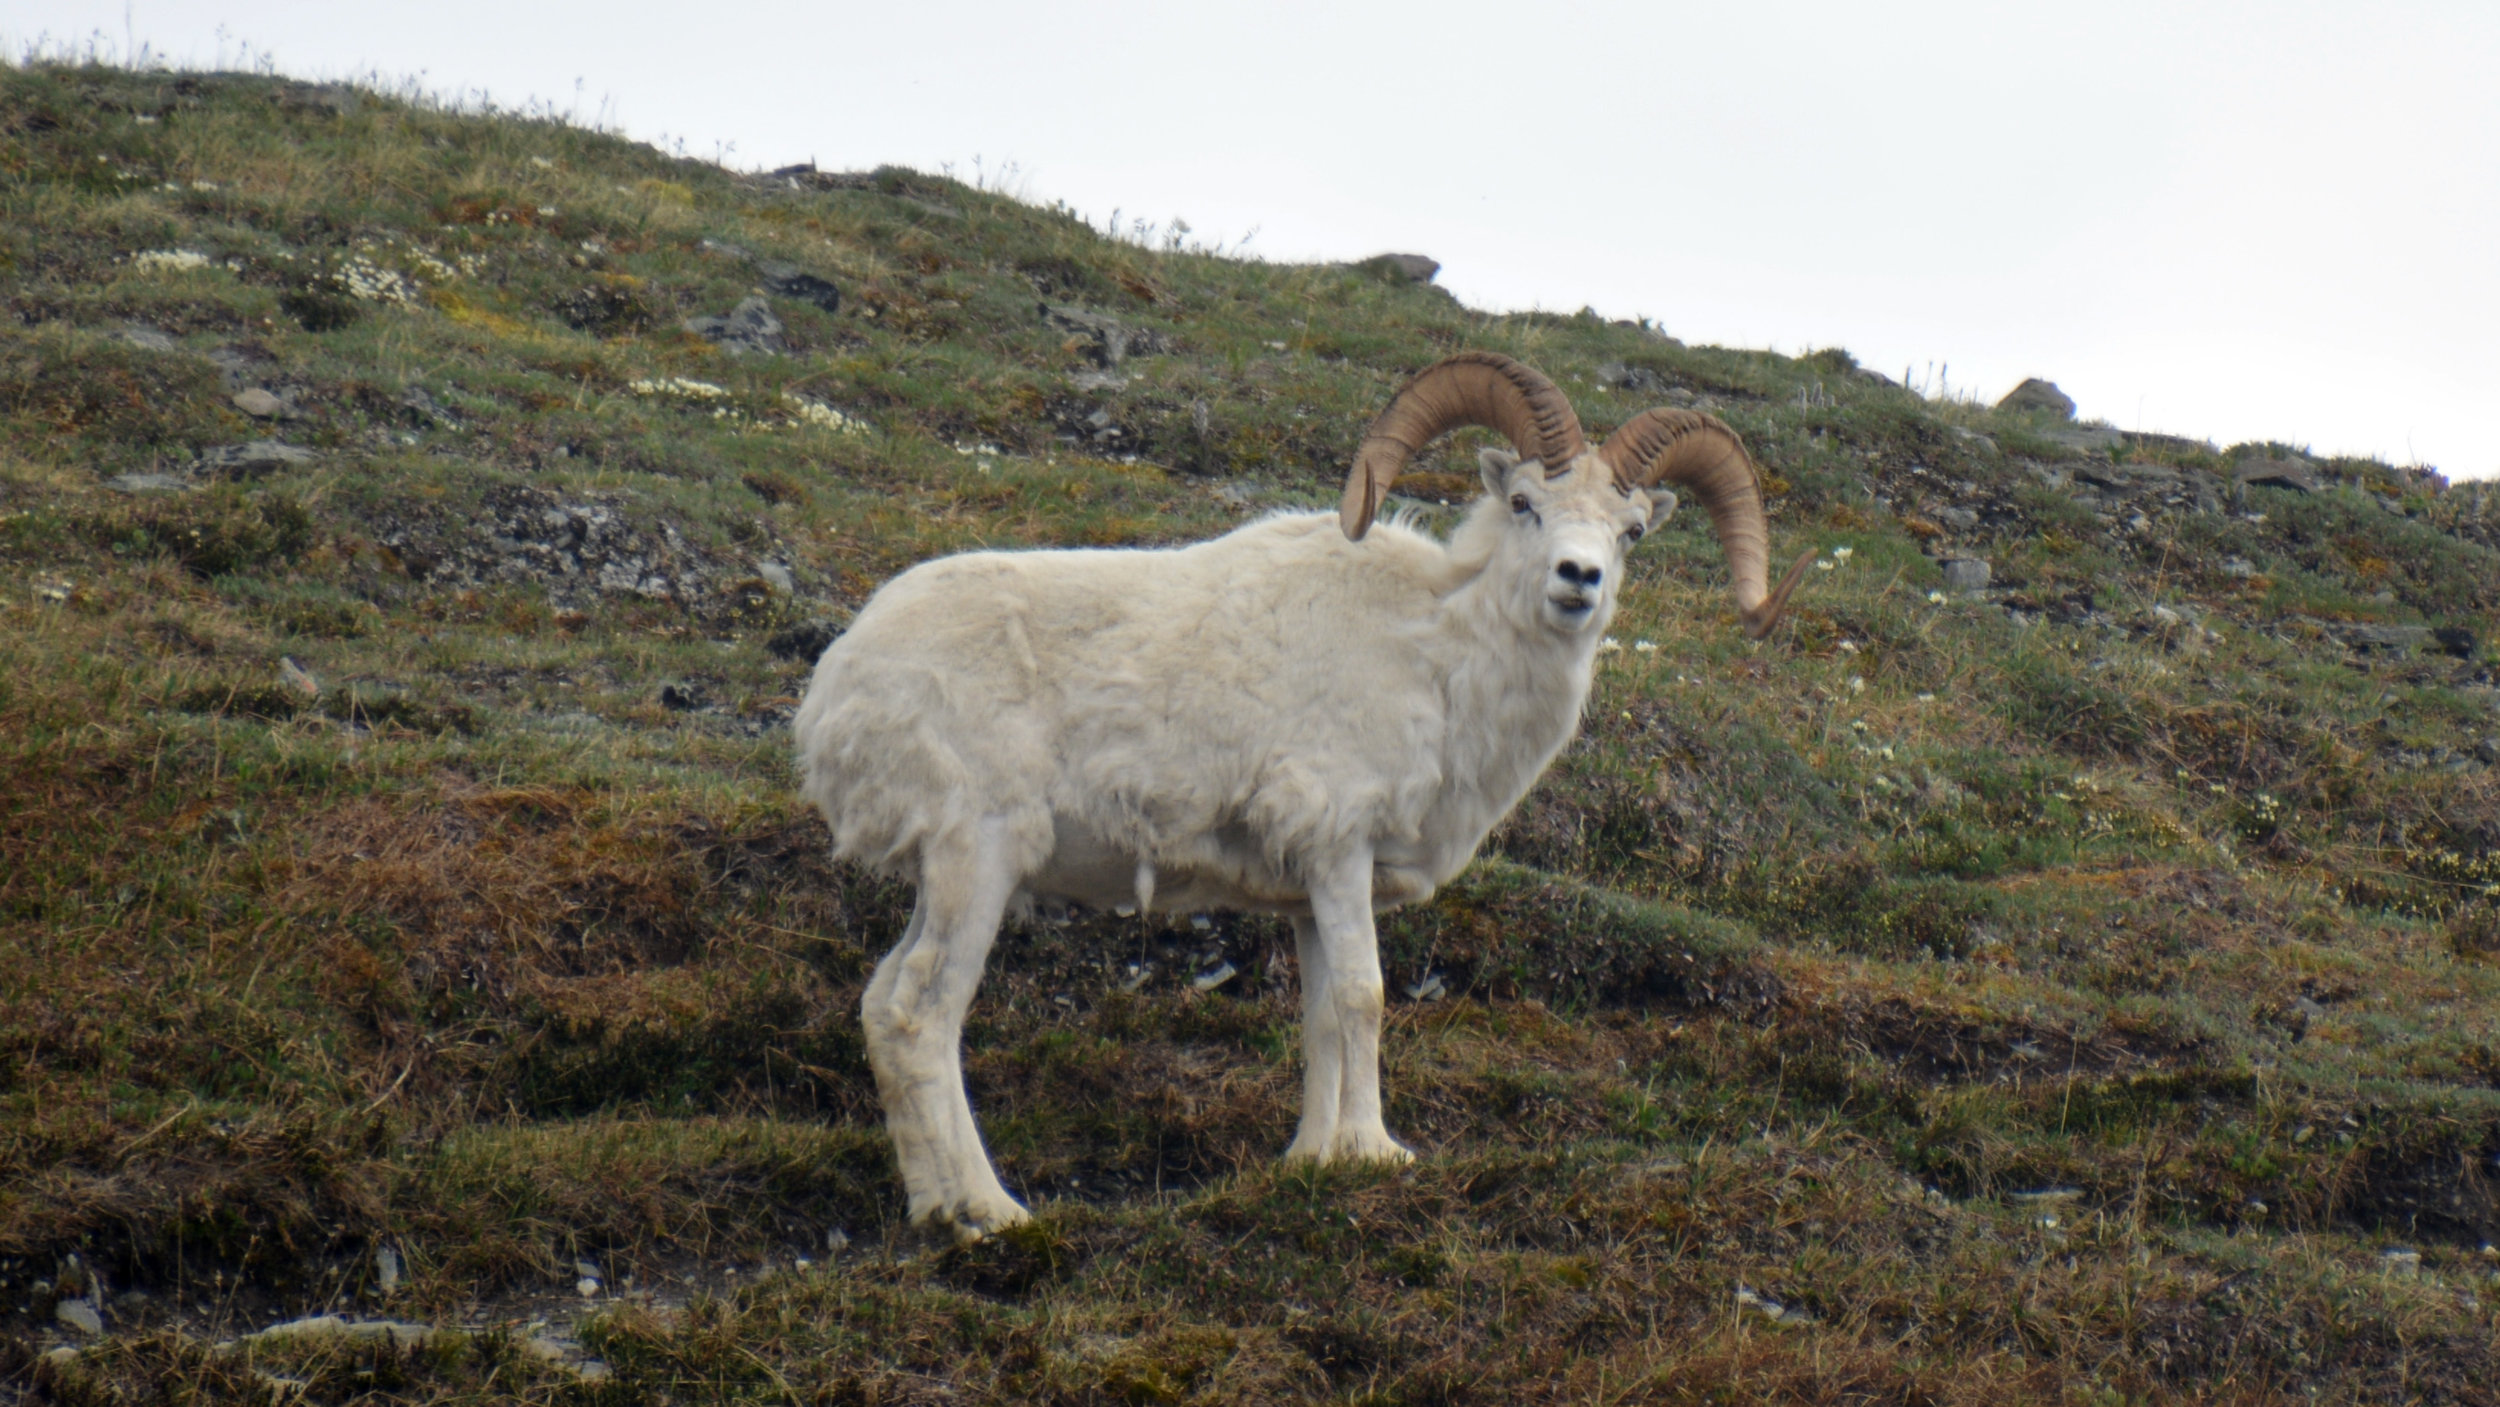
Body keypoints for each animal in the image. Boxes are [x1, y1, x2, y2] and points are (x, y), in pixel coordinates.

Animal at [795, 352, 1810, 1239]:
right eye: (1525, 502)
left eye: (1630, 531)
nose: (1580, 579)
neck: (1437, 659)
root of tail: (836, 688)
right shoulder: (1338, 847)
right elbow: (1365, 997)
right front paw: (1374, 1155)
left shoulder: (1309, 890)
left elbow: (1322, 1012)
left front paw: (1315, 1159)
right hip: (978, 856)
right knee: (921, 1012)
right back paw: (990, 1212)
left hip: (944, 871)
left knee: (883, 1007)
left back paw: (934, 1207)